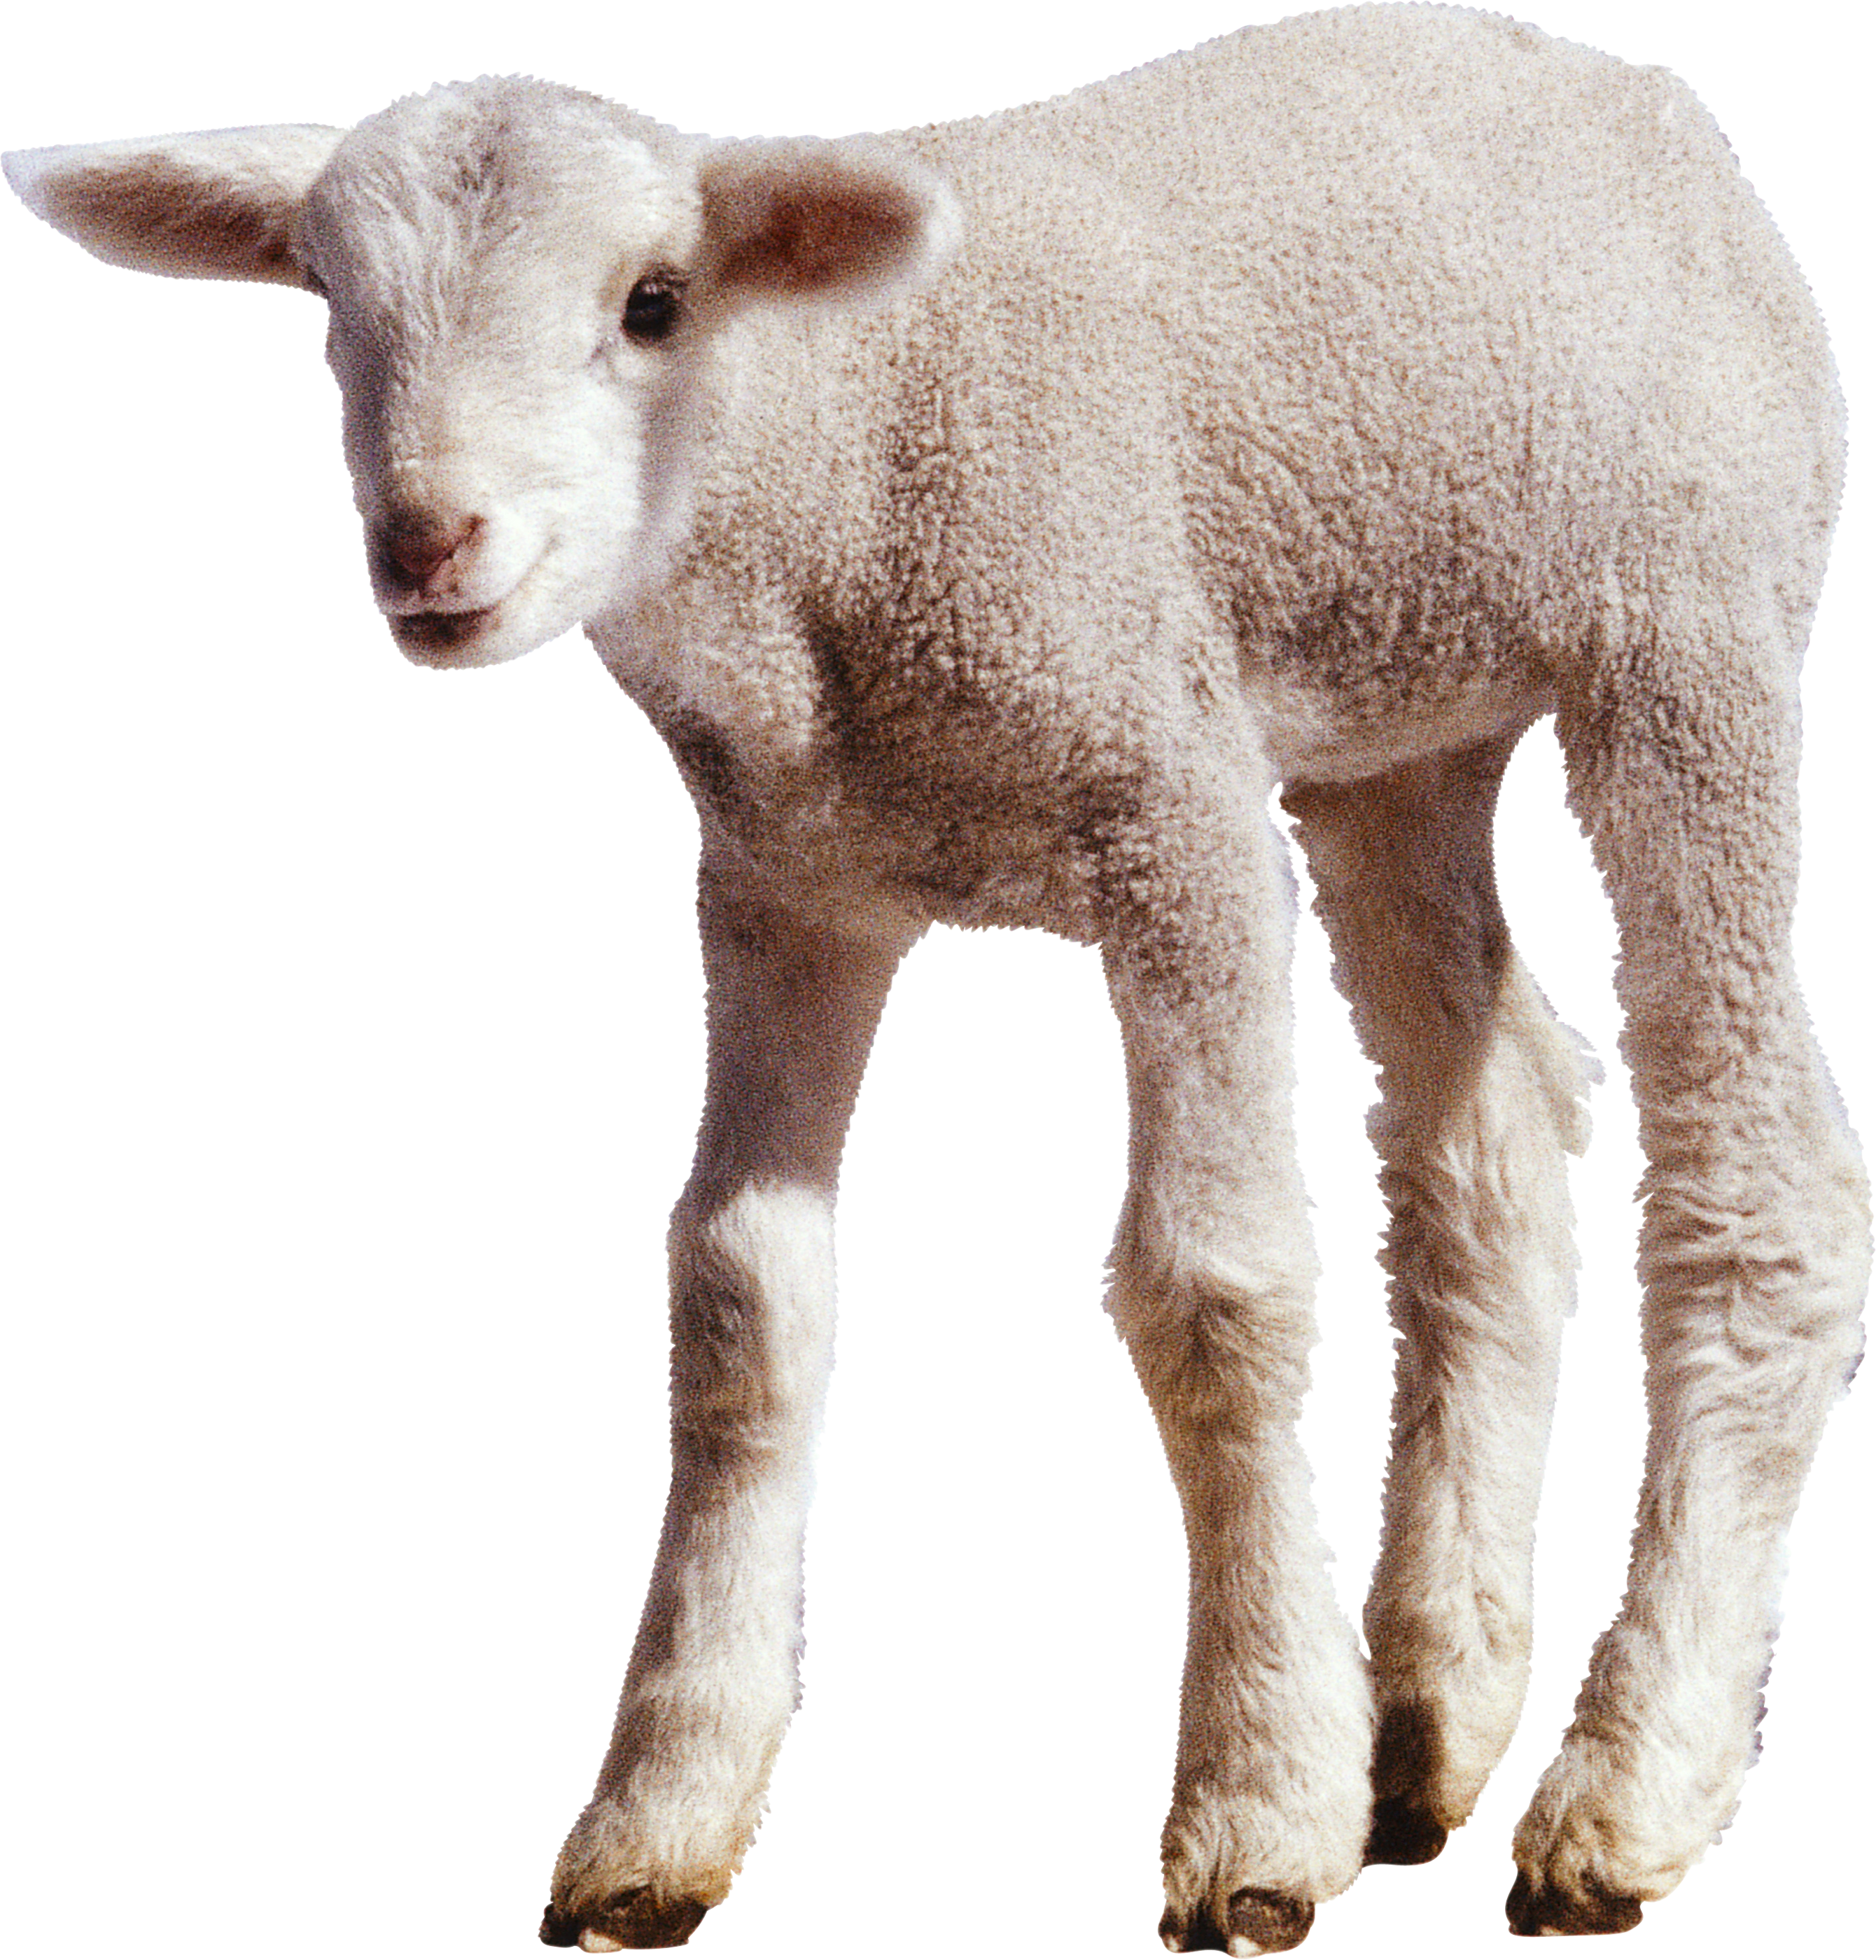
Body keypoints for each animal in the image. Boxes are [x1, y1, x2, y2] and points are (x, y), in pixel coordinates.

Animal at [6, 5, 1865, 1951]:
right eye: (325, 301)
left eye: (652, 303)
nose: (427, 543)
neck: (832, 454)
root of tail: (1610, 80)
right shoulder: (787, 884)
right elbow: (736, 1303)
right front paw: (658, 1812)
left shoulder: (1166, 789)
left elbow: (1214, 1287)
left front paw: (1250, 1811)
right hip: (1395, 708)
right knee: (1489, 1128)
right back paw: (1426, 1717)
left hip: (1682, 610)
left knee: (1758, 1182)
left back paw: (1623, 1781)